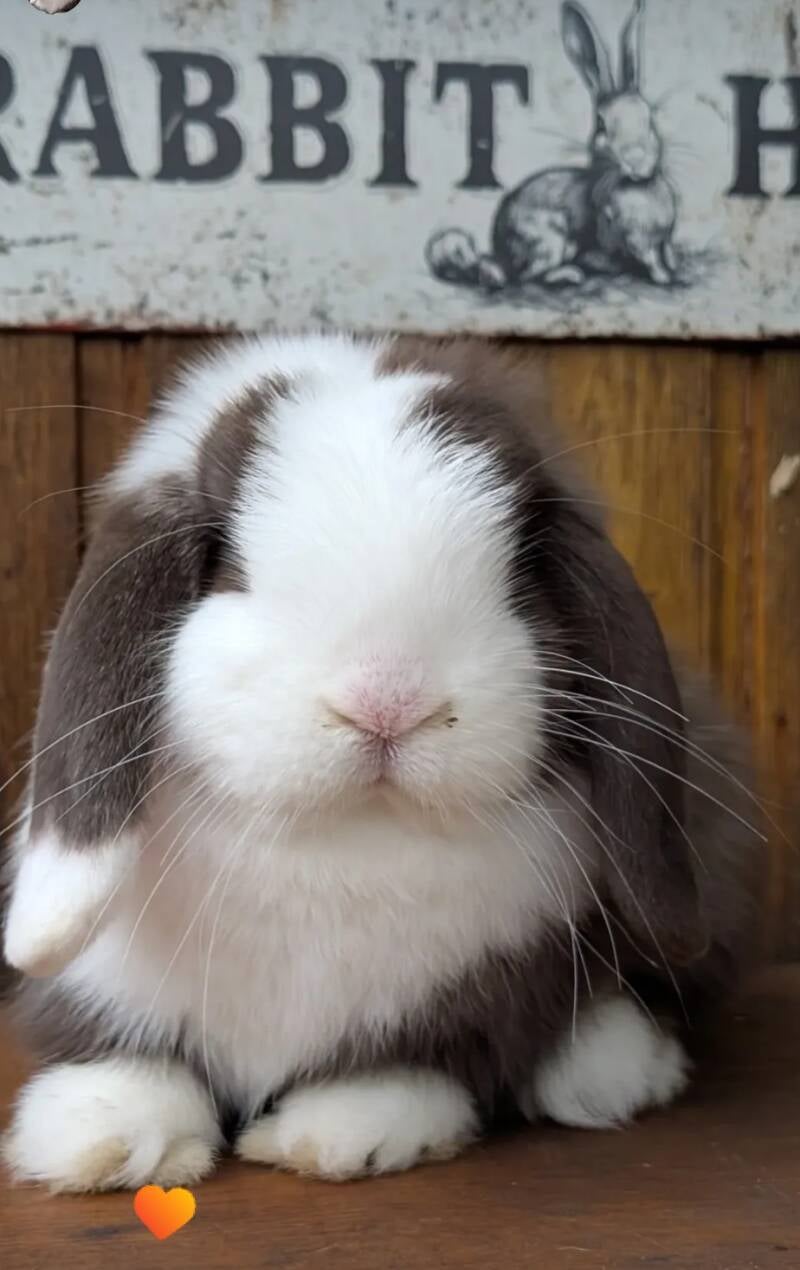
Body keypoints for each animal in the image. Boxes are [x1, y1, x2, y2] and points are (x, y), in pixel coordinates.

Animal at [1, 333, 762, 1191]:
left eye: (518, 573)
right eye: (227, 564)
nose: (388, 699)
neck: (336, 843)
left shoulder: (464, 999)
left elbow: (404, 1065)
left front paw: (340, 1132)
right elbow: (134, 1060)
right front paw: (103, 1133)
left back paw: (613, 1068)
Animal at [428, 0, 678, 290]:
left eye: (650, 118)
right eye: (601, 125)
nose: (636, 160)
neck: (638, 187)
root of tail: (500, 251)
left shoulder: (662, 240)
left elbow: (666, 251)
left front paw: (672, 267)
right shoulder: (636, 241)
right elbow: (649, 257)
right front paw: (664, 277)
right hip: (550, 244)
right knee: (527, 276)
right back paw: (569, 274)